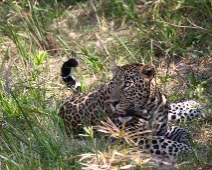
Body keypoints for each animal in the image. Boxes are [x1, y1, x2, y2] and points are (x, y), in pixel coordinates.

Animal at [59, 58, 202, 158]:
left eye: (127, 84)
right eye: (113, 84)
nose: (113, 102)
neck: (150, 106)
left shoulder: (162, 128)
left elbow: (182, 131)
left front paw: (188, 141)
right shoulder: (136, 136)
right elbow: (169, 143)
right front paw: (189, 151)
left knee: (172, 109)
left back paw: (194, 106)